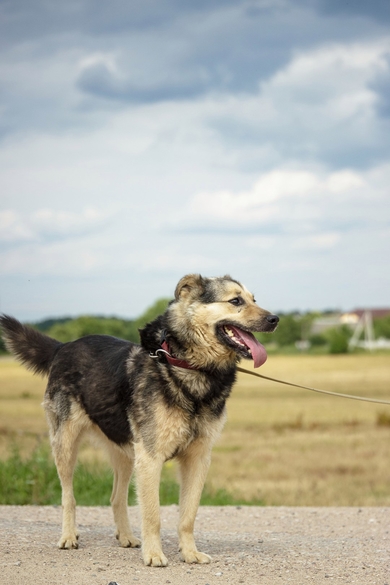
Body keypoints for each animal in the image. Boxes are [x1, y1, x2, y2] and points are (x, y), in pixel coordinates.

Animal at [1, 274, 278, 564]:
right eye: (235, 301)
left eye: (254, 300)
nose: (275, 319)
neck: (188, 365)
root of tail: (63, 346)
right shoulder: (151, 458)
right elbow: (152, 514)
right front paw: (154, 554)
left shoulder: (198, 458)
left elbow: (188, 515)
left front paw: (190, 553)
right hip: (66, 445)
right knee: (69, 496)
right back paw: (68, 537)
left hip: (125, 454)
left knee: (116, 497)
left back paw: (126, 537)